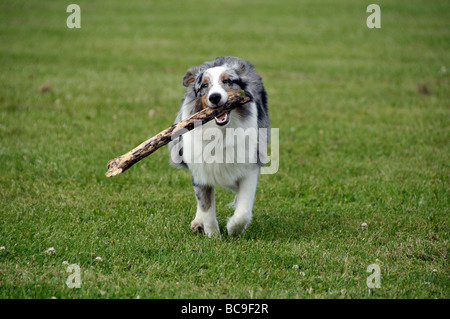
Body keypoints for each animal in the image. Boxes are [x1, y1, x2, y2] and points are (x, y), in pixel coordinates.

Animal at [168, 57, 268, 238]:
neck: (221, 133)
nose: (215, 97)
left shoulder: (249, 167)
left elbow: (243, 210)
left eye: (227, 81)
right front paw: (213, 237)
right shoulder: (200, 169)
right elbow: (206, 207)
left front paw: (233, 228)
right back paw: (198, 222)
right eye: (204, 86)